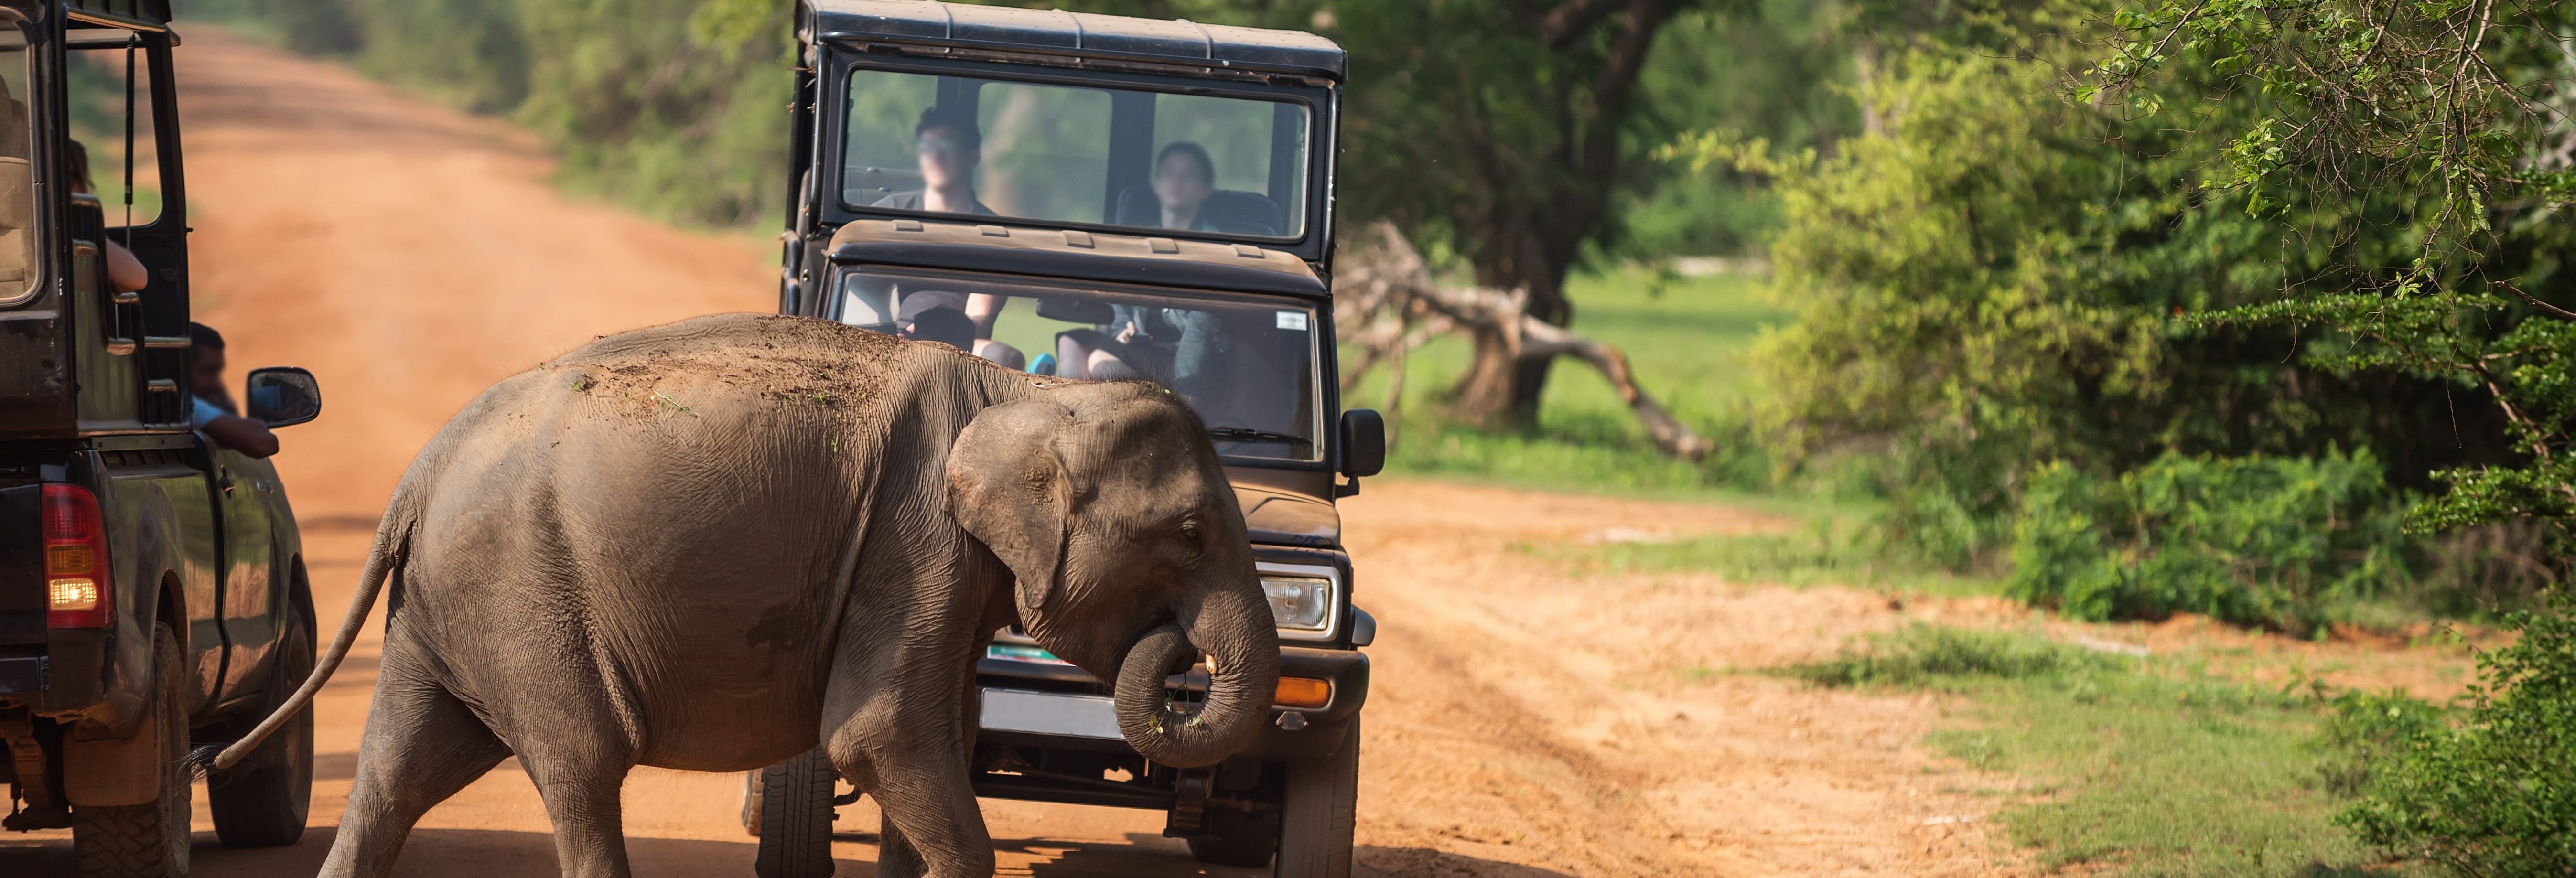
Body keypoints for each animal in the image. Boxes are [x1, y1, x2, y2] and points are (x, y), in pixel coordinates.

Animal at [216, 312, 1283, 875]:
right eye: (1192, 531)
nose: (1177, 649)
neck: (1020, 395)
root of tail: (419, 470)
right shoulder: (915, 543)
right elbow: (876, 733)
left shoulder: (939, 569)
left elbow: (937, 727)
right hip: (520, 593)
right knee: (581, 763)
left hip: (441, 611)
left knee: (396, 773)